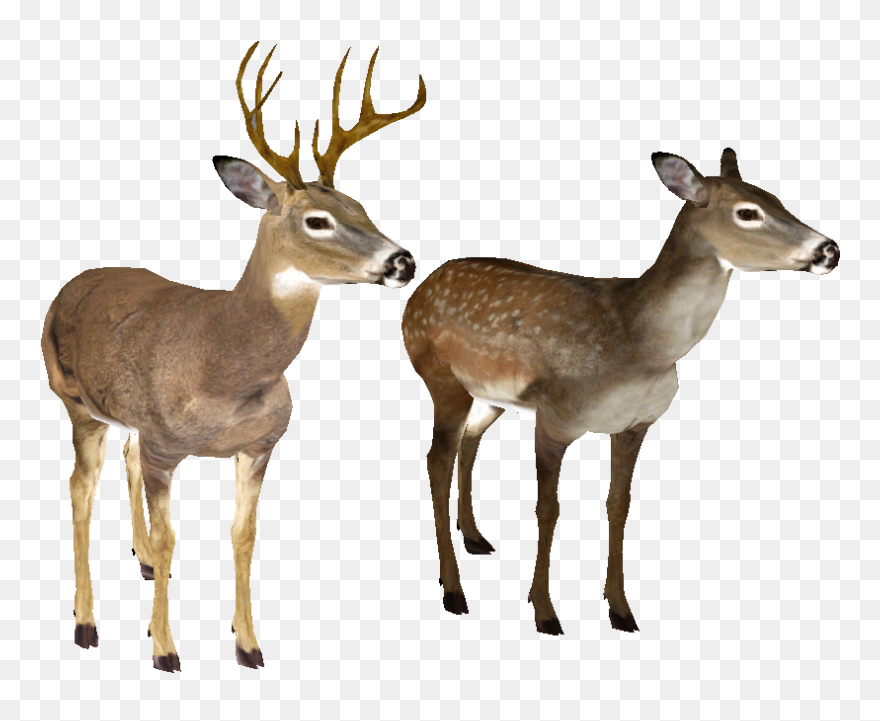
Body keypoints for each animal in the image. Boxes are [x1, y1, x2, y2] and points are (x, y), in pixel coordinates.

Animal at [40, 41, 426, 672]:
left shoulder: (260, 444)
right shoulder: (166, 447)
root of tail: (73, 283)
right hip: (74, 400)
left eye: (362, 206)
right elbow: (174, 536)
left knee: (124, 456)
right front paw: (165, 649)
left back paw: (142, 563)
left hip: (126, 419)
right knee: (80, 488)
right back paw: (86, 620)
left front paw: (247, 644)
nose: (403, 262)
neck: (222, 363)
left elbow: (243, 535)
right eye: (317, 220)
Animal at [402, 148, 839, 635]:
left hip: (490, 396)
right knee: (436, 461)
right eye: (748, 212)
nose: (829, 250)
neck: (637, 347)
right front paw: (544, 611)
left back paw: (475, 538)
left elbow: (619, 504)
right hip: (441, 377)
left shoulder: (635, 424)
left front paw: (620, 608)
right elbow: (548, 508)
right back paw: (453, 589)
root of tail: (421, 289)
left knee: (470, 441)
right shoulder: (555, 417)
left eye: (777, 198)